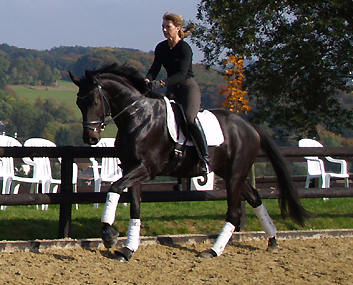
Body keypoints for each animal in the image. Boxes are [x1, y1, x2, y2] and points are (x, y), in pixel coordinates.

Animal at [69, 63, 310, 260]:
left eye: (94, 101)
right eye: (78, 103)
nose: (90, 138)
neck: (139, 116)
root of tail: (249, 127)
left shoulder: (147, 168)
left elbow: (114, 188)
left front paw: (108, 235)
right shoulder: (131, 168)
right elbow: (135, 208)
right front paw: (127, 250)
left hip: (235, 173)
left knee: (234, 212)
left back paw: (213, 251)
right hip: (229, 172)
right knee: (254, 197)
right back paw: (272, 240)